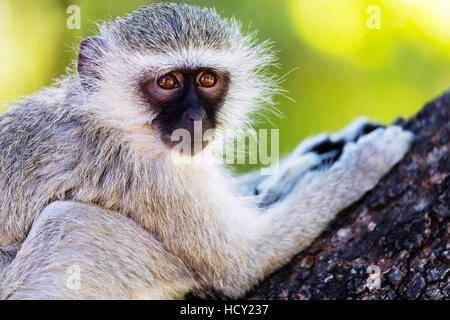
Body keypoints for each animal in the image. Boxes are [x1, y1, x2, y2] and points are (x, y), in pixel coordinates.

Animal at [0, 3, 414, 300]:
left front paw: (315, 154)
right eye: (168, 82)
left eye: (207, 79)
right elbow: (243, 263)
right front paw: (364, 163)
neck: (110, 118)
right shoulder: (146, 172)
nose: (196, 117)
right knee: (73, 220)